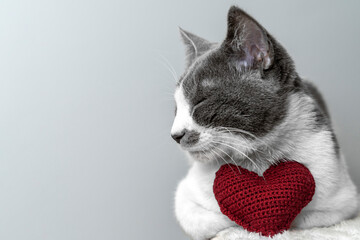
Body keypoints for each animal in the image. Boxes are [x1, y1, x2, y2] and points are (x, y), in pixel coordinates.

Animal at [172, 5, 360, 240]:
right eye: (176, 109)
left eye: (200, 102)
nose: (175, 135)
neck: (258, 160)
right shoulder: (184, 194)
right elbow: (206, 220)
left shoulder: (343, 201)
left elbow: (306, 218)